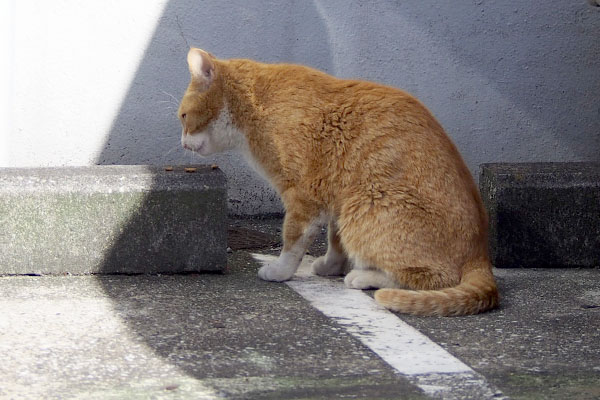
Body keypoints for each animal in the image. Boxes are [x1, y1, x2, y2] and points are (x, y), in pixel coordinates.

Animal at [177, 47, 496, 316]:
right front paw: (331, 266)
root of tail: (480, 253)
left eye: (183, 116)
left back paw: (364, 276)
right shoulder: (334, 192)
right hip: (354, 203)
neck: (255, 104)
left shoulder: (303, 196)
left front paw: (280, 271)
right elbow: (335, 239)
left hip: (368, 202)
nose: (182, 142)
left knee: (430, 278)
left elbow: (293, 239)